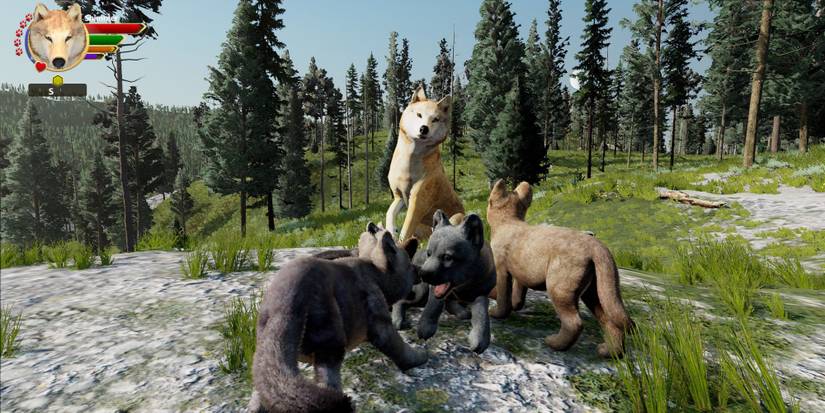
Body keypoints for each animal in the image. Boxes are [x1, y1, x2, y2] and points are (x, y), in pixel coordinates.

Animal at [249, 224, 428, 413]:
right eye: (409, 263)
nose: (420, 270)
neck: (376, 273)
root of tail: (285, 302)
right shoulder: (379, 317)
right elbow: (399, 348)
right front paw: (421, 355)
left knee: (260, 389)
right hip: (330, 339)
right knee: (328, 381)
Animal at [386, 85, 464, 241]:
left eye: (435, 119)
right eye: (419, 115)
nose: (424, 128)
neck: (409, 161)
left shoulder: (417, 201)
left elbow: (406, 227)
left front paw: (399, 242)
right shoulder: (399, 197)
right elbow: (389, 213)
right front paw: (391, 231)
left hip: (456, 217)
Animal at [414, 211, 497, 354]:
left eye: (447, 257)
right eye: (429, 254)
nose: (422, 274)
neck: (463, 286)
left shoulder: (481, 293)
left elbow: (482, 314)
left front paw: (480, 338)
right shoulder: (435, 290)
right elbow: (434, 305)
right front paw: (426, 326)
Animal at [486, 180, 633, 358]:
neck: (509, 221)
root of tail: (597, 246)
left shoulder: (501, 268)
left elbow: (503, 296)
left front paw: (496, 313)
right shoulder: (521, 271)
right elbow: (517, 294)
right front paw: (513, 304)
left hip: (559, 288)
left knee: (575, 322)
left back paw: (554, 343)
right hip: (595, 291)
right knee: (610, 321)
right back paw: (608, 351)